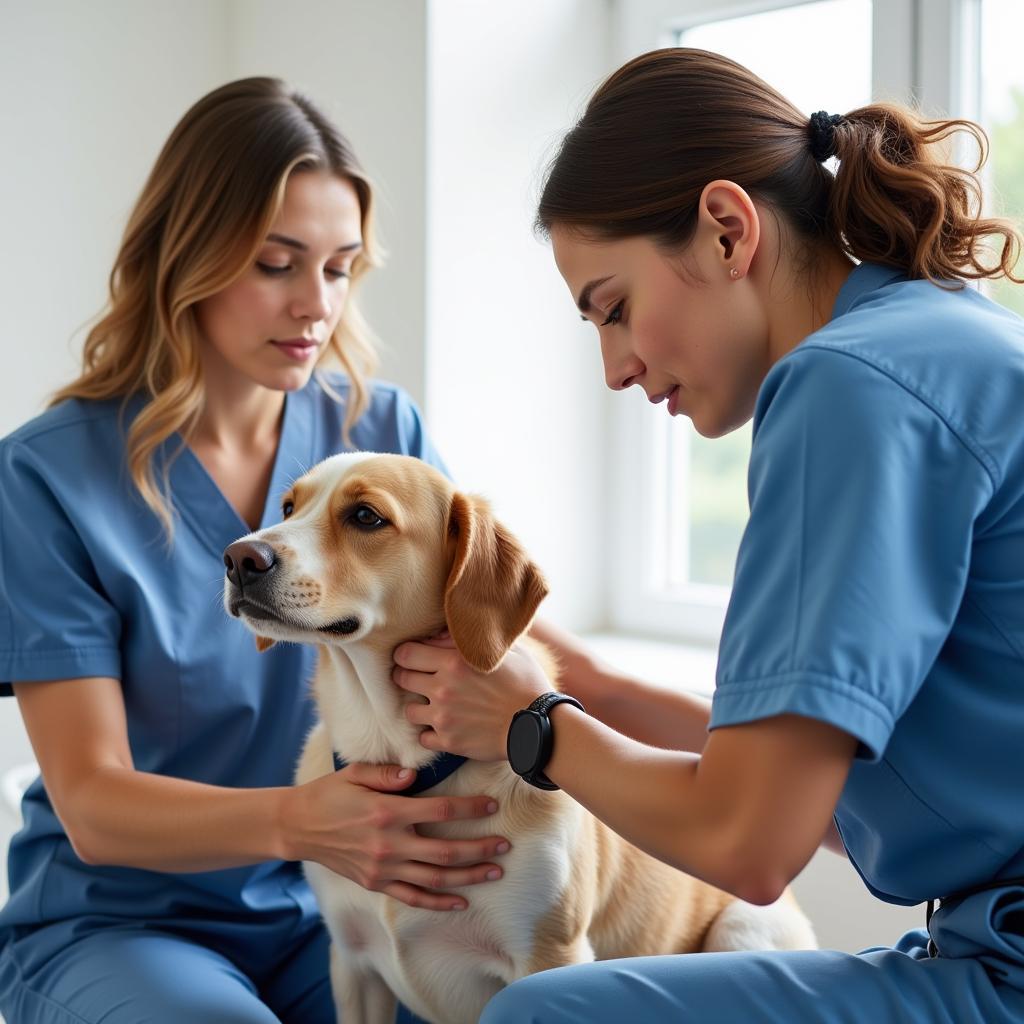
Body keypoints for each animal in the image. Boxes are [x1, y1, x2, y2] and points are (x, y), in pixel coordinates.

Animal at [222, 454, 815, 1024]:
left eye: (366, 516)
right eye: (289, 506)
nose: (239, 558)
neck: (410, 760)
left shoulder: (548, 956)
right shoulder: (352, 964)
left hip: (742, 926)